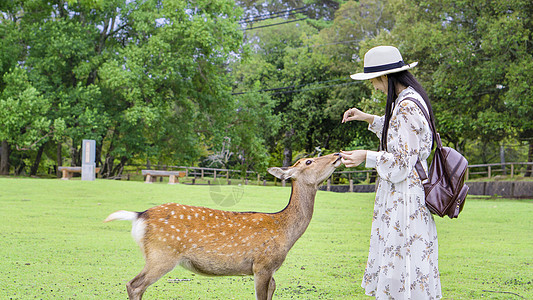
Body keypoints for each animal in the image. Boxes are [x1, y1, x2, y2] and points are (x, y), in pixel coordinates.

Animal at [105, 154, 340, 298]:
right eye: (309, 161)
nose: (338, 155)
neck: (285, 231)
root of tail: (140, 216)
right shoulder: (262, 265)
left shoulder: (271, 271)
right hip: (162, 254)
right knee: (134, 285)